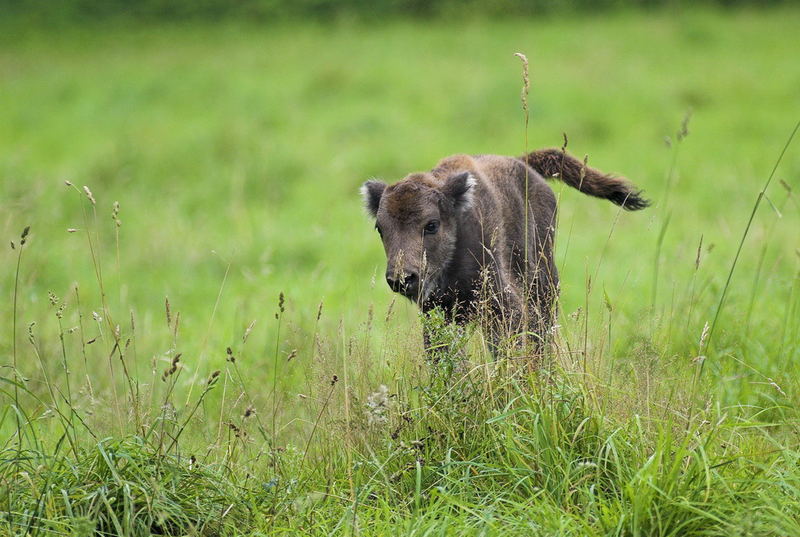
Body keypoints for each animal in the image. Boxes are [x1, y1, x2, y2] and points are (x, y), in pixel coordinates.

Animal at [362, 149, 648, 354]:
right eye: (380, 228)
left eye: (431, 224)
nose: (402, 278)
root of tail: (524, 164)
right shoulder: (438, 314)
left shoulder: (505, 308)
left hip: (544, 285)